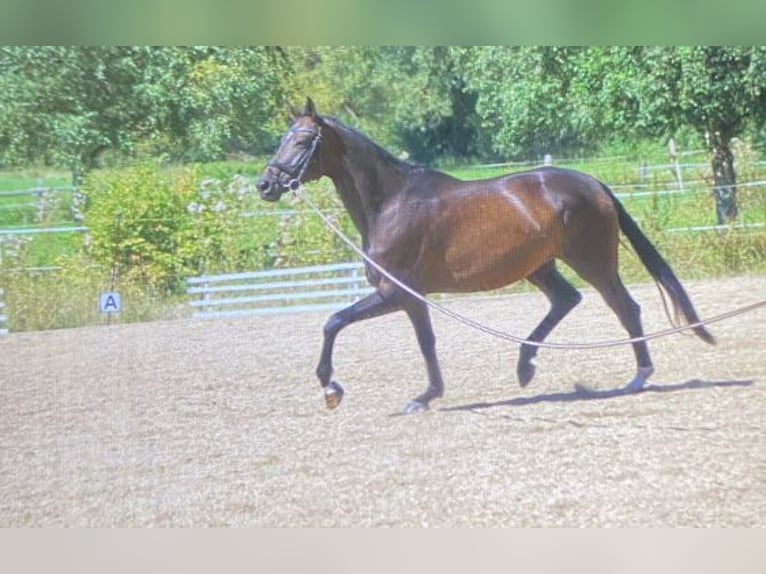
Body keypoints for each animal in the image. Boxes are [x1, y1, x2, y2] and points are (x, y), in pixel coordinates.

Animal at [260, 99, 720, 414]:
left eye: (303, 141)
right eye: (281, 138)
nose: (265, 185)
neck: (392, 203)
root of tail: (594, 183)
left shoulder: (397, 293)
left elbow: (334, 322)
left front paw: (332, 388)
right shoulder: (411, 298)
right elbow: (424, 342)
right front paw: (427, 396)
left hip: (593, 264)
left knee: (625, 308)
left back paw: (638, 377)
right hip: (540, 267)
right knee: (566, 300)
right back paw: (525, 365)